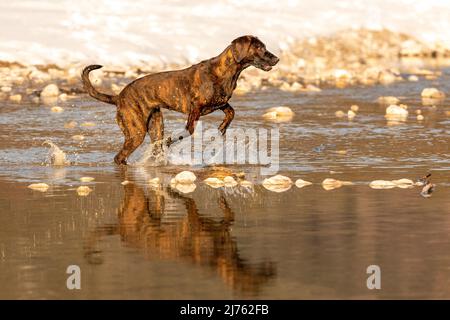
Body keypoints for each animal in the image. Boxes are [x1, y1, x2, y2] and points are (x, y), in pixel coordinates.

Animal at [81, 35, 278, 165]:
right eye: (259, 48)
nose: (276, 58)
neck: (226, 72)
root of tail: (119, 96)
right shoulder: (195, 108)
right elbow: (188, 131)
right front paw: (171, 141)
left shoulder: (220, 103)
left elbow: (231, 112)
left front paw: (222, 128)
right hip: (136, 132)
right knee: (119, 156)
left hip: (155, 125)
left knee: (153, 145)